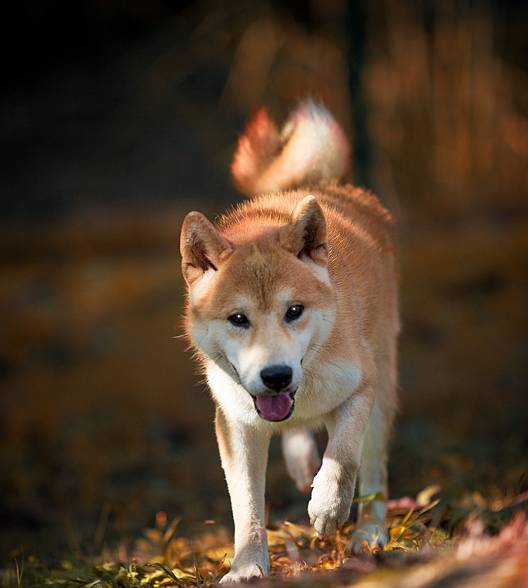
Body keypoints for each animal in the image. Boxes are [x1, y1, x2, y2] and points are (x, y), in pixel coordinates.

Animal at [179, 101, 398, 584]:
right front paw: (247, 566)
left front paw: (328, 509)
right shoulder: (235, 424)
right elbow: (247, 507)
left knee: (374, 473)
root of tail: (322, 185)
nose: (276, 376)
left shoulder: (361, 387)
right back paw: (300, 462)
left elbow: (344, 459)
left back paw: (368, 534)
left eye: (294, 311)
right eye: (238, 319)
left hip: (384, 390)